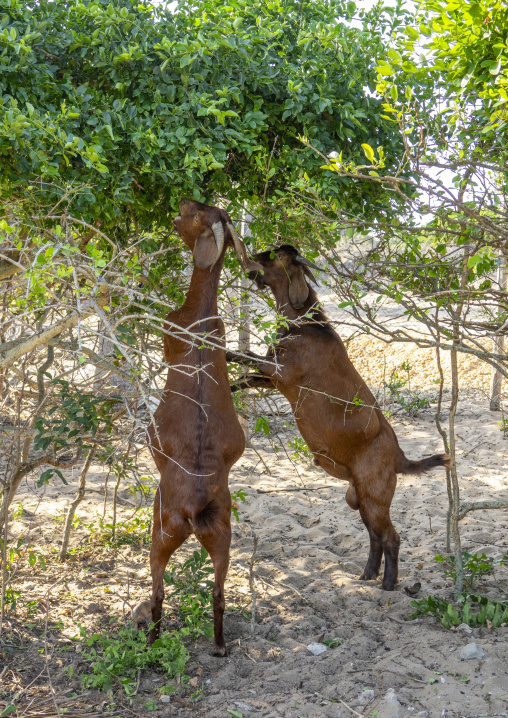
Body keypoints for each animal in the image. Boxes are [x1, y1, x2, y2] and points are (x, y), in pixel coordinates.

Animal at [147, 199, 261, 654]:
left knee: (158, 591)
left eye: (197, 215)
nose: (181, 202)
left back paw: (152, 640)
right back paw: (219, 645)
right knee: (218, 592)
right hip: (222, 535)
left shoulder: (168, 329)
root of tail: (194, 507)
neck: (201, 316)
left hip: (161, 528)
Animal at [228, 244, 449, 590]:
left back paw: (388, 585)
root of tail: (399, 456)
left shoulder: (281, 373)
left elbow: (241, 356)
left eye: (275, 255)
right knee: (375, 537)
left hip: (374, 496)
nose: (252, 258)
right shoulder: (269, 379)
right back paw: (367, 574)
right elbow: (242, 377)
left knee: (391, 537)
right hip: (359, 498)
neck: (305, 325)